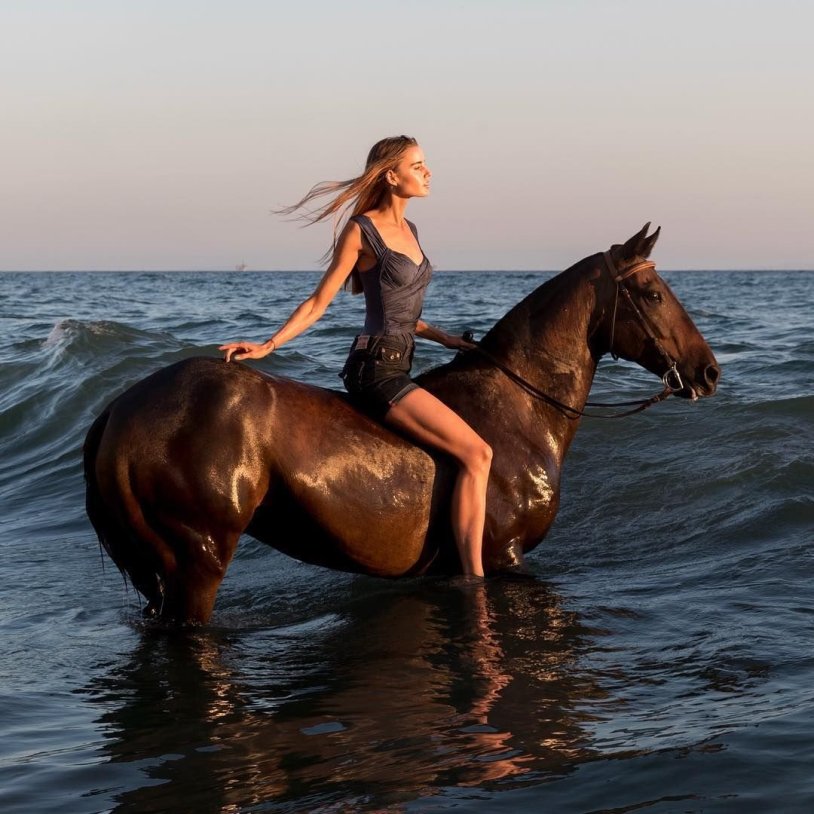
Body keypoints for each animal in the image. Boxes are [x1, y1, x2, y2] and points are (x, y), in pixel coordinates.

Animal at [83, 224, 719, 624]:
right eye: (651, 293)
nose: (707, 372)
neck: (518, 406)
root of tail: (120, 406)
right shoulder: (504, 557)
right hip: (197, 560)